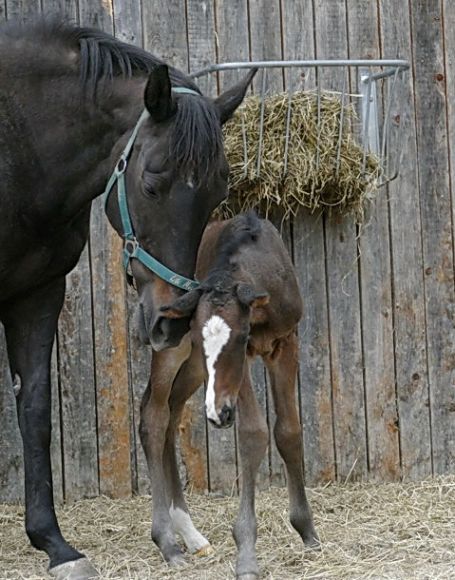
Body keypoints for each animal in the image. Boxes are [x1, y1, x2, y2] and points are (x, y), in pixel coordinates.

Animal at [0, 19, 253, 580]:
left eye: (219, 191)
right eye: (152, 182)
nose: (171, 322)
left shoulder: (38, 293)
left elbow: (35, 411)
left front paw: (54, 544)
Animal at [137, 212, 318, 576]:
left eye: (239, 336)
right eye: (197, 333)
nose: (217, 414)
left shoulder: (284, 341)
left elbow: (289, 431)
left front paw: (307, 531)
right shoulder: (239, 364)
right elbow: (253, 433)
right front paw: (247, 553)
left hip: (193, 366)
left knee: (172, 413)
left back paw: (191, 535)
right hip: (174, 350)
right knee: (153, 415)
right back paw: (167, 541)